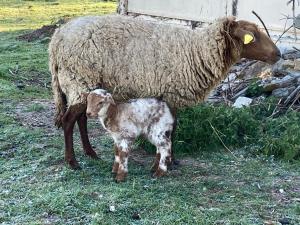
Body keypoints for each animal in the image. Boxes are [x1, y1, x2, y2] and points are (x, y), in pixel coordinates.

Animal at [49, 14, 282, 169]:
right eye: (253, 36)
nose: (278, 54)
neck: (197, 52)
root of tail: (57, 38)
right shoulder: (172, 93)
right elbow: (170, 129)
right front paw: (166, 161)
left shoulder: (170, 96)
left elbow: (173, 128)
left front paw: (171, 159)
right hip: (78, 79)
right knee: (69, 120)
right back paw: (73, 162)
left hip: (83, 85)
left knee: (81, 119)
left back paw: (91, 153)